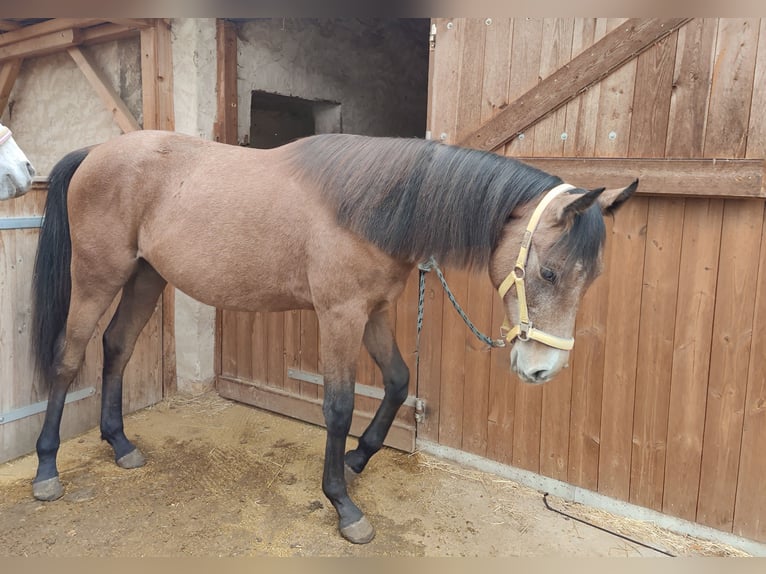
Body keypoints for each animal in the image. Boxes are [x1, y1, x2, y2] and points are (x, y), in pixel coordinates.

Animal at [30, 130, 640, 544]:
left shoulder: (373, 313)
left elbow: (397, 381)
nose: (542, 369)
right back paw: (46, 469)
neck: (372, 205)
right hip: (97, 277)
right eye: (550, 274)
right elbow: (339, 406)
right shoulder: (340, 316)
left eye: (591, 277)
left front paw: (358, 459)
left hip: (145, 276)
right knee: (68, 358)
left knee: (116, 346)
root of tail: (95, 152)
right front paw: (343, 505)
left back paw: (119, 443)